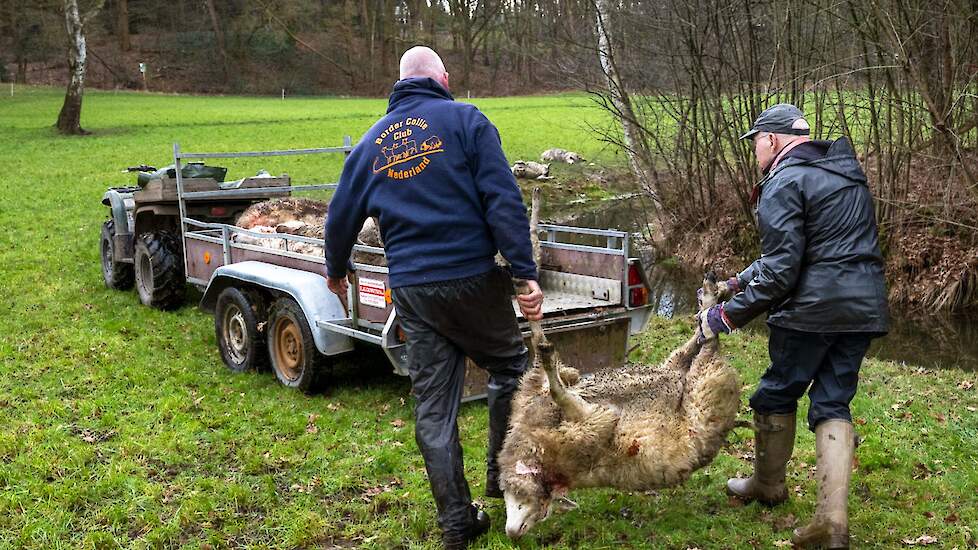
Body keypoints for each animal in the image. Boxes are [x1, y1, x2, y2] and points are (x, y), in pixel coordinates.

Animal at [500, 278, 736, 540]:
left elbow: (554, 383)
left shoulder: (591, 421)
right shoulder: (576, 417)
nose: (513, 533)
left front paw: (542, 338)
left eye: (542, 511)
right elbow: (548, 375)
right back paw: (711, 302)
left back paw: (710, 303)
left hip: (703, 392)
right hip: (692, 380)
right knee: (696, 347)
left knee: (705, 342)